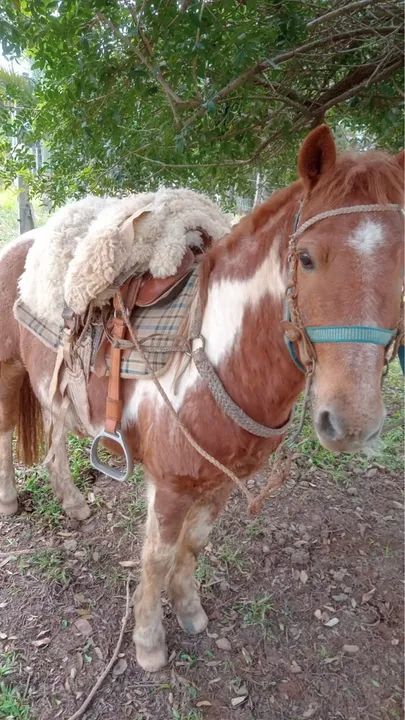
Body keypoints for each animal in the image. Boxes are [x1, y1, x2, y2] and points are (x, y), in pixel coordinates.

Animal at [0, 125, 403, 672]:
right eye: (306, 257)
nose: (352, 421)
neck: (215, 354)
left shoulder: (221, 481)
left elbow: (194, 546)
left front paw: (189, 610)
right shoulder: (170, 487)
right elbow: (157, 555)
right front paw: (149, 641)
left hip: (57, 389)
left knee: (55, 438)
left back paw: (73, 502)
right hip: (7, 370)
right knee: (5, 432)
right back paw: (9, 500)